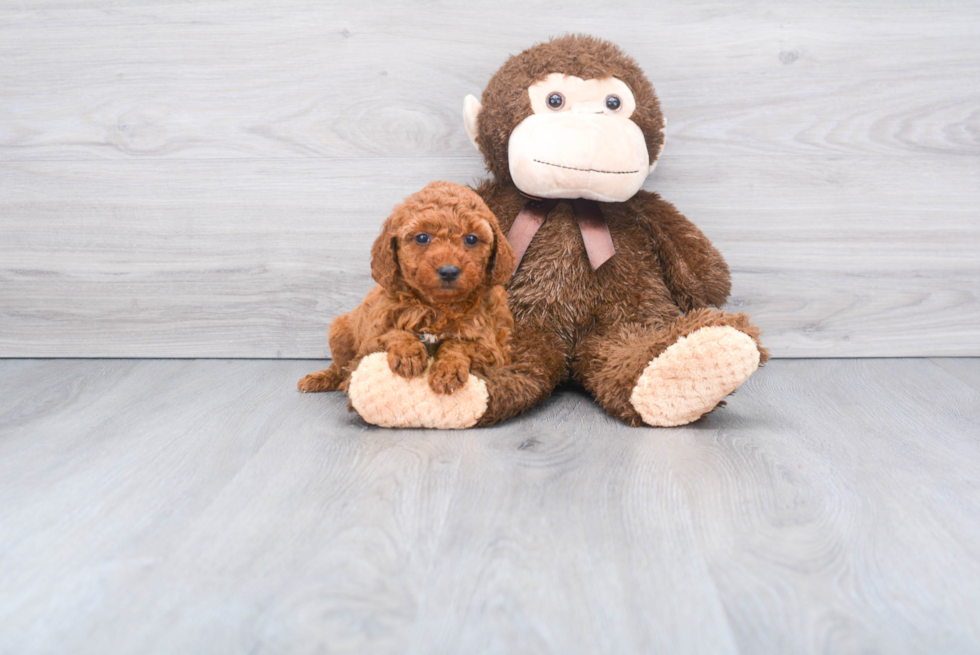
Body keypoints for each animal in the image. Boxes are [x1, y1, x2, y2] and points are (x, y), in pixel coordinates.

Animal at [298, 179, 516, 394]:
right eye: (422, 238)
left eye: (471, 239)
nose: (448, 271)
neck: (437, 306)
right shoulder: (371, 339)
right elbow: (394, 333)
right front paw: (409, 355)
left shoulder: (492, 348)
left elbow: (459, 344)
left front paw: (447, 371)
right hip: (340, 332)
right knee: (340, 367)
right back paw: (319, 378)